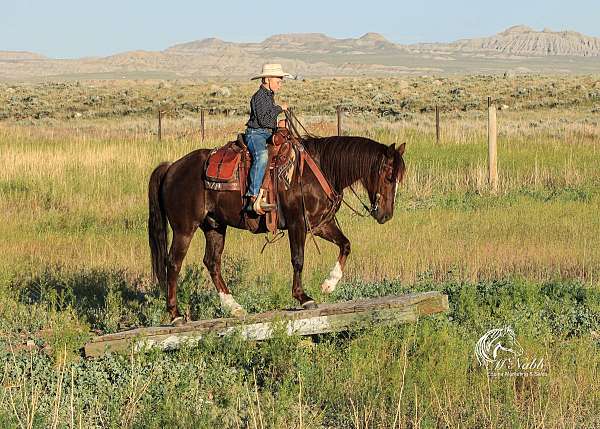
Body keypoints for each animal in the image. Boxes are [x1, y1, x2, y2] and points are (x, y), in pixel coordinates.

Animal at [148, 135, 406, 322]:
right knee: (173, 263)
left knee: (212, 262)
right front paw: (303, 297)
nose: (386, 215)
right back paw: (175, 314)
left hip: (214, 226)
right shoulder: (296, 223)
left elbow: (346, 245)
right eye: (388, 176)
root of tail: (172, 168)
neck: (319, 169)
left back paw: (234, 307)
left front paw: (329, 284)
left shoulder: (321, 224)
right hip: (184, 229)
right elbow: (298, 259)